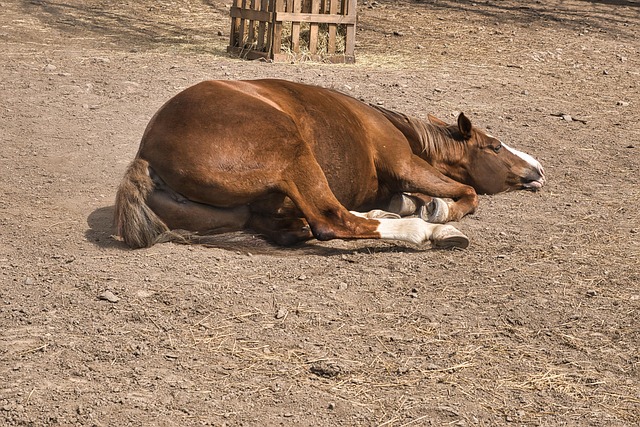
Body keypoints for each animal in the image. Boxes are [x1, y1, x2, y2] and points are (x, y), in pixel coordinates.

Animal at [114, 79, 545, 250]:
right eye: (494, 146)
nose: (538, 169)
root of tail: (147, 156)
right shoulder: (405, 164)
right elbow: (468, 193)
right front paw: (439, 212)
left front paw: (406, 205)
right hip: (293, 155)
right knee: (331, 220)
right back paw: (426, 232)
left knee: (304, 223)